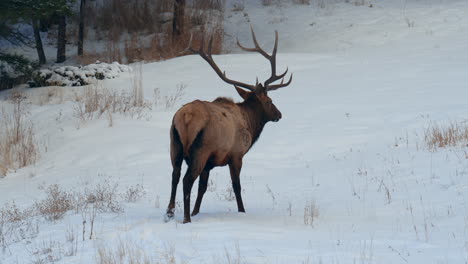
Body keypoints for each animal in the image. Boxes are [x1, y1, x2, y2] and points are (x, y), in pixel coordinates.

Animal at [165, 28, 292, 223]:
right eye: (270, 101)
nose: (279, 114)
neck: (250, 124)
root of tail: (185, 117)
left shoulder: (210, 163)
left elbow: (203, 187)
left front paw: (196, 211)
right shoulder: (236, 154)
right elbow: (236, 186)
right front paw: (242, 211)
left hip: (175, 144)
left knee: (175, 176)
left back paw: (170, 212)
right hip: (200, 149)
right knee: (187, 180)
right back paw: (186, 219)